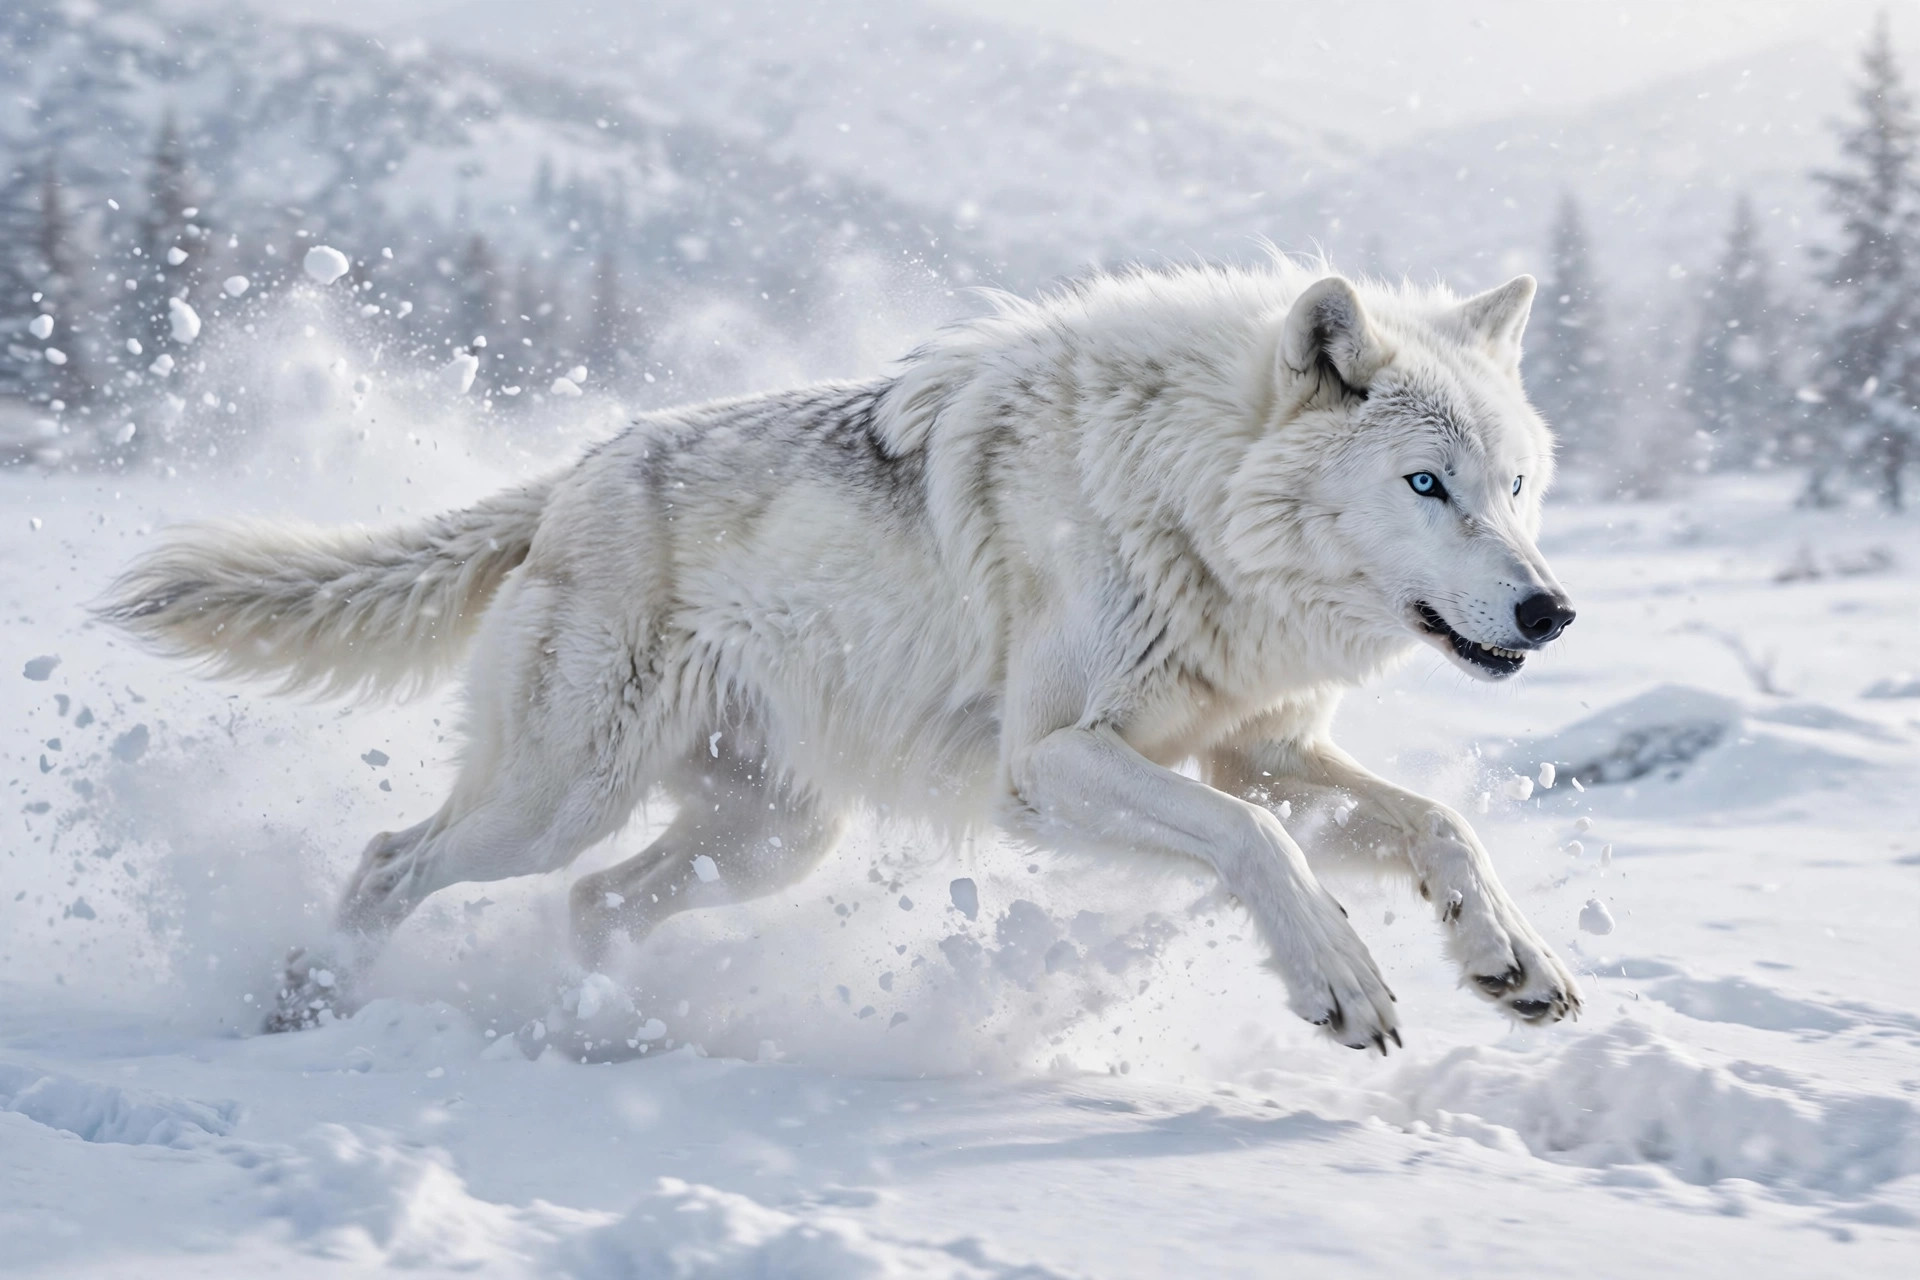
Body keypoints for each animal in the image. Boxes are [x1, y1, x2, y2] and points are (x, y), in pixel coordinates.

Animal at [103, 260, 1581, 1048]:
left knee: (598, 907)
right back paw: (308, 1005)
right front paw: (1341, 980)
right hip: (556, 801)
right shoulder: (1053, 765)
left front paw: (1510, 956)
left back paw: (602, 1035)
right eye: (1427, 485)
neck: (1187, 504)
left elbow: (1437, 823)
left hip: (766, 841)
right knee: (388, 859)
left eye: (1517, 486)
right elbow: (1258, 845)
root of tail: (573, 474)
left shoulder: (1256, 748)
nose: (1551, 612)